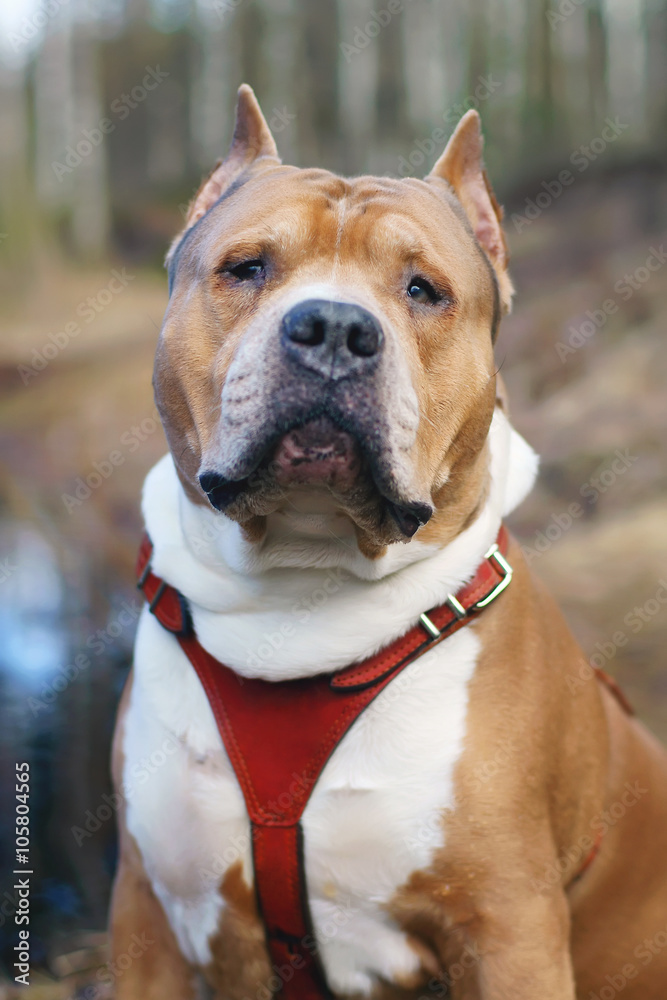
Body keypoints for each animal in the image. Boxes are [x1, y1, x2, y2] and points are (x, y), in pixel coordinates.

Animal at [109, 86, 667, 1000]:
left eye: (423, 290)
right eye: (247, 268)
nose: (334, 327)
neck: (298, 590)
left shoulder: (509, 930)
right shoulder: (149, 917)